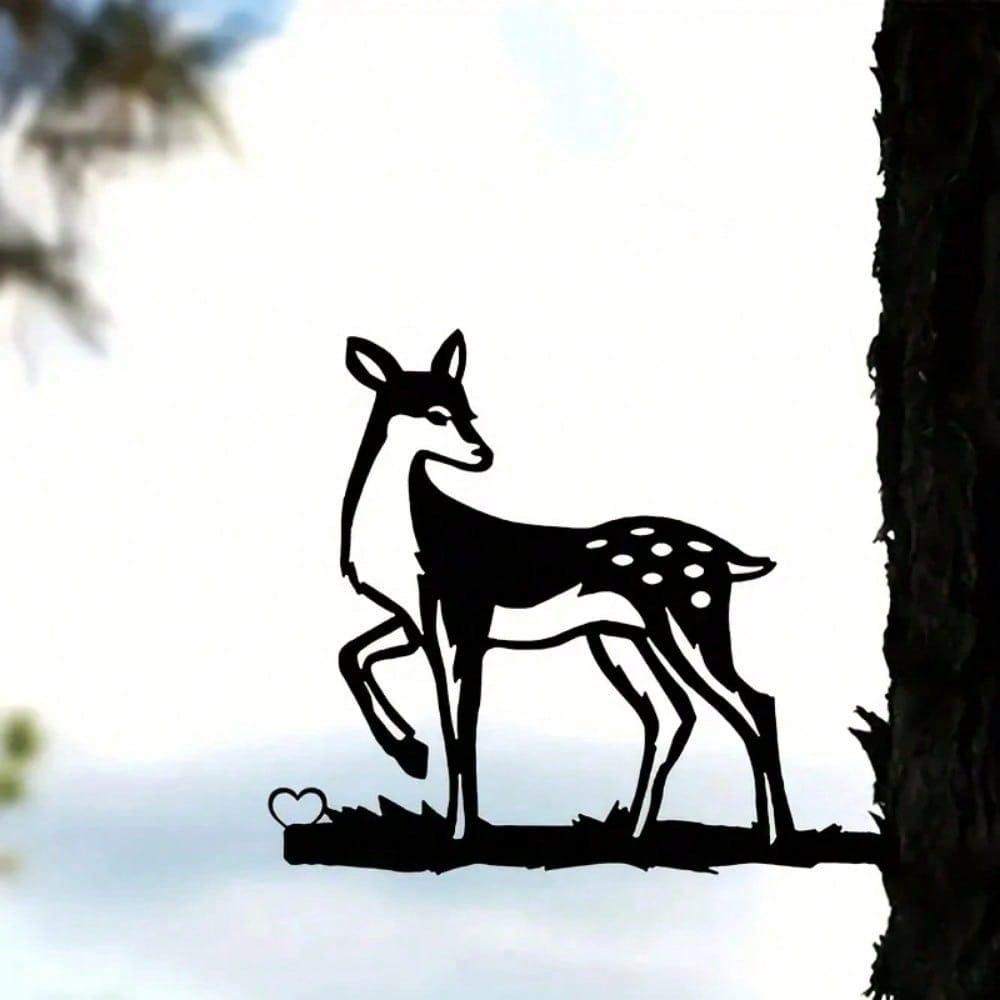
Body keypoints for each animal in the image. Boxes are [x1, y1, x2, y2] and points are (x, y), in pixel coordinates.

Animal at [338, 330, 794, 842]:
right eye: (437, 414)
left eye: (469, 412)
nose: (483, 454)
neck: (415, 543)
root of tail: (729, 557)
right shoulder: (417, 618)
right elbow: (354, 656)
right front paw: (410, 752)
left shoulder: (466, 614)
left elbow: (459, 723)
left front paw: (457, 829)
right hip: (624, 637)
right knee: (676, 712)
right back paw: (639, 830)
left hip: (688, 616)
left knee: (752, 703)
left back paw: (777, 835)